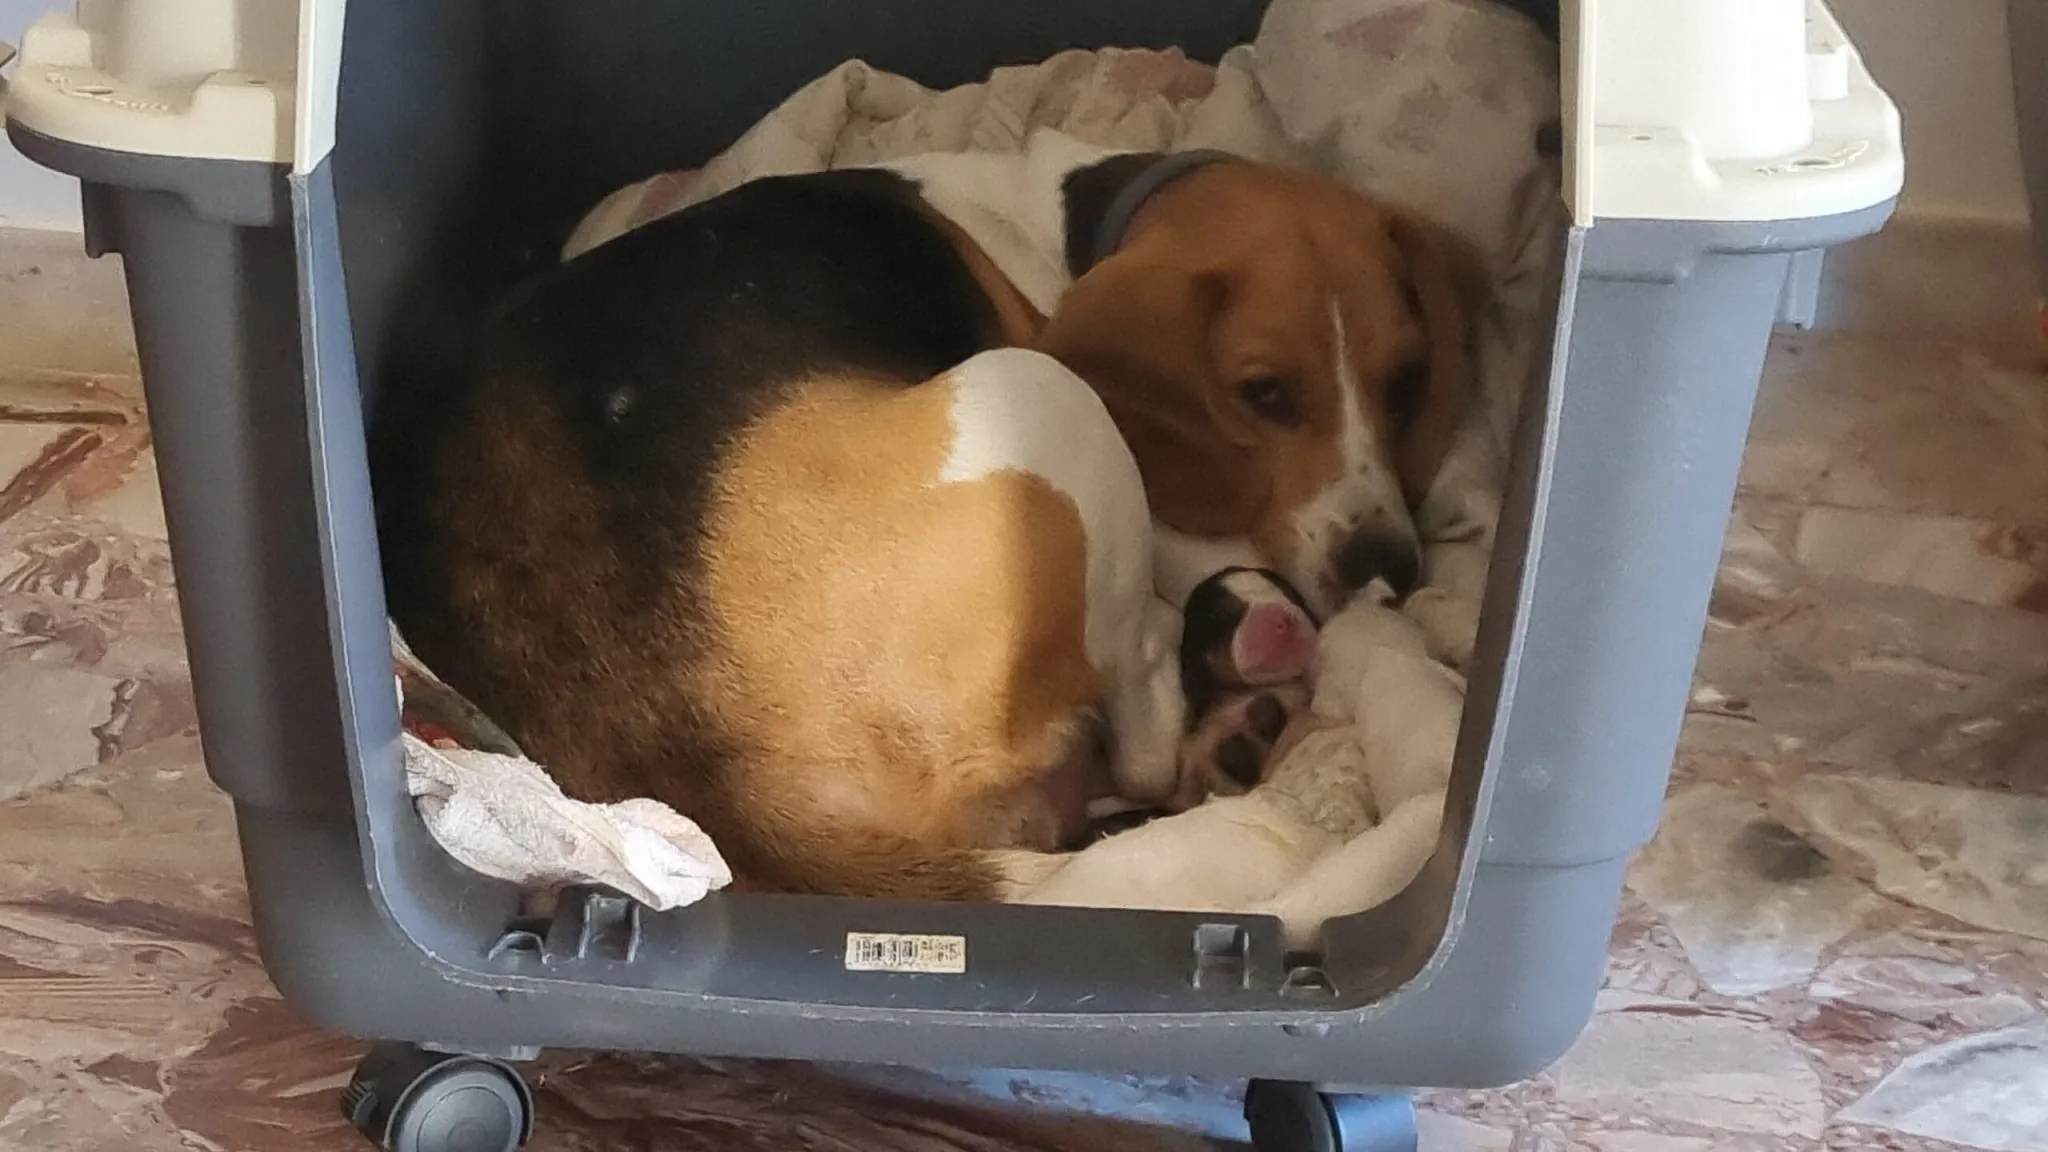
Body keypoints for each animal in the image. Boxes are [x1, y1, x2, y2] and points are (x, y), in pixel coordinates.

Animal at [377, 130, 1478, 901]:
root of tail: (722, 780)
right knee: (1140, 723)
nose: (1393, 567)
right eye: (1264, 396)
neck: (1066, 224)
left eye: (1406, 379)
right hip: (1041, 393)